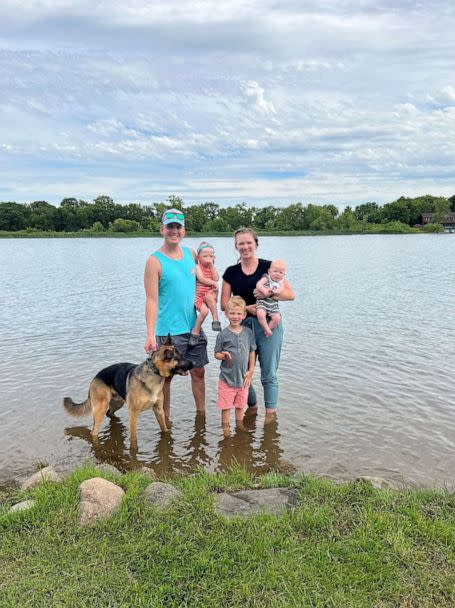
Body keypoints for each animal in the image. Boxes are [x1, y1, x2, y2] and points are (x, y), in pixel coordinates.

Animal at [63, 334, 193, 444]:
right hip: (100, 409)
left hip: (118, 403)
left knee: (110, 413)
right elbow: (134, 438)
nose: (194, 363)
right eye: (180, 358)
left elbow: (165, 429)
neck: (153, 371)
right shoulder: (133, 413)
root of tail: (96, 377)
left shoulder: (159, 410)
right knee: (94, 430)